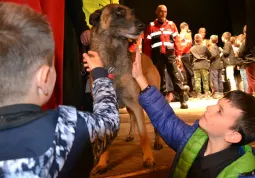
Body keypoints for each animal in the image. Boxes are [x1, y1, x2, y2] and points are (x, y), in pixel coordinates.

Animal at [88, 4, 162, 174]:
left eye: (133, 13)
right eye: (119, 12)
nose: (142, 26)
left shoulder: (136, 103)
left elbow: (143, 135)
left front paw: (148, 158)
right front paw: (102, 163)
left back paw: (158, 142)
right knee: (132, 118)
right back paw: (130, 135)